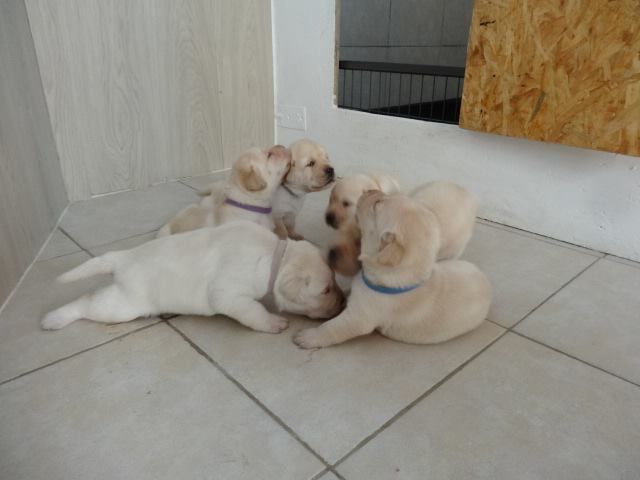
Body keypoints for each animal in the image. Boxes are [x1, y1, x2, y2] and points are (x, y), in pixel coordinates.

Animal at [41, 221, 344, 334]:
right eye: (326, 290)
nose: (343, 303)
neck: (273, 255)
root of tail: (123, 257)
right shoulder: (228, 295)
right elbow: (253, 311)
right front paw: (273, 322)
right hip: (122, 306)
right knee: (87, 301)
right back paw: (53, 318)